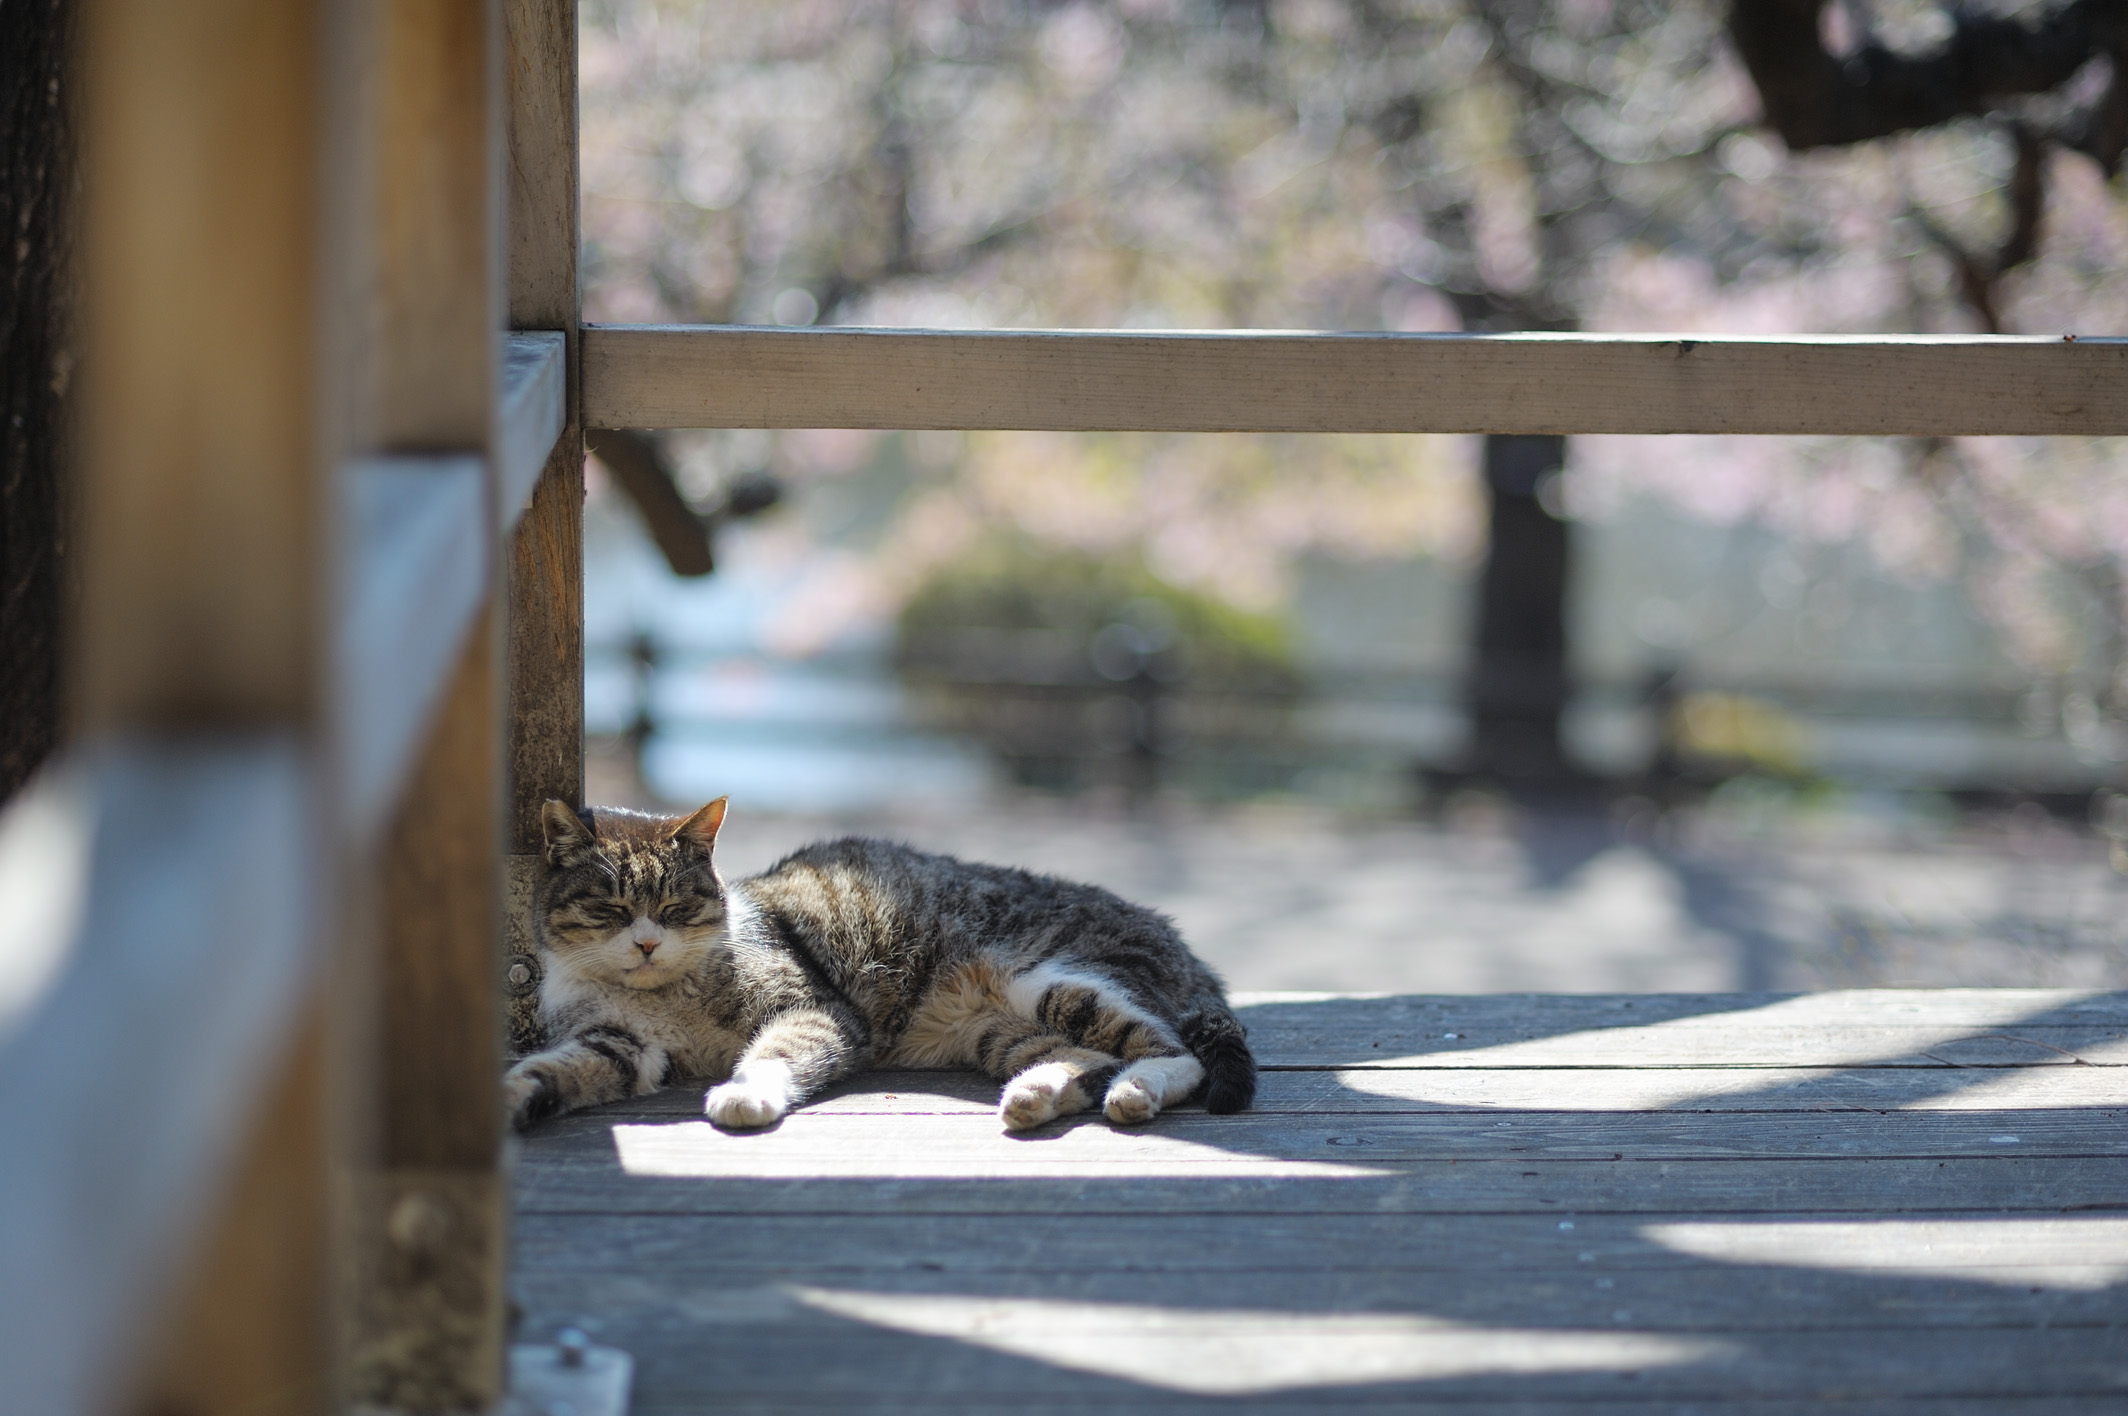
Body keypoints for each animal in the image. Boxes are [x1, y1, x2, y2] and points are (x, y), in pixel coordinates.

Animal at [504, 800, 1251, 1132]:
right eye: (608, 909)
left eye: (676, 906)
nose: (647, 944)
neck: (660, 992)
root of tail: (1183, 945)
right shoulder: (620, 1044)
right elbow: (554, 1071)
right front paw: (513, 1099)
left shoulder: (814, 1008)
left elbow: (775, 1052)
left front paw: (744, 1094)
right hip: (1001, 1030)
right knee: (1088, 1059)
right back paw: (1036, 1095)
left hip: (1052, 979)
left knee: (1173, 1050)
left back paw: (1136, 1091)